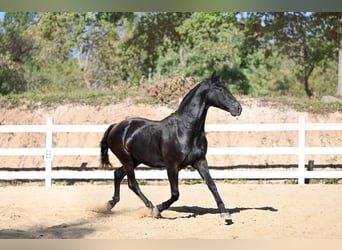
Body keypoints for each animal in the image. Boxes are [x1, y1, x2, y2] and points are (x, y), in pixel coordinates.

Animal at [100, 71, 242, 225]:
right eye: (220, 89)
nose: (238, 108)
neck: (185, 130)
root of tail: (115, 126)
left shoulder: (200, 162)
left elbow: (212, 185)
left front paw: (225, 215)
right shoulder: (172, 166)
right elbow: (175, 194)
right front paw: (158, 209)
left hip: (135, 160)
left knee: (118, 174)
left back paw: (109, 204)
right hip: (127, 160)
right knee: (132, 184)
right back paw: (151, 208)